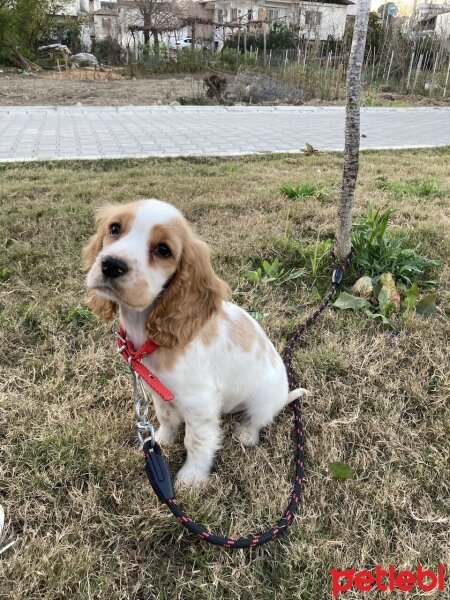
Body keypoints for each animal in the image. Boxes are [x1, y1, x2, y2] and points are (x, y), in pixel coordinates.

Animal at [84, 199, 308, 486]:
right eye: (114, 228)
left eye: (163, 250)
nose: (111, 264)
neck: (149, 336)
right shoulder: (159, 391)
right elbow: (166, 417)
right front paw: (161, 440)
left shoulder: (199, 401)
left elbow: (197, 441)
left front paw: (191, 478)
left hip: (264, 399)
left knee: (258, 419)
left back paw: (246, 433)